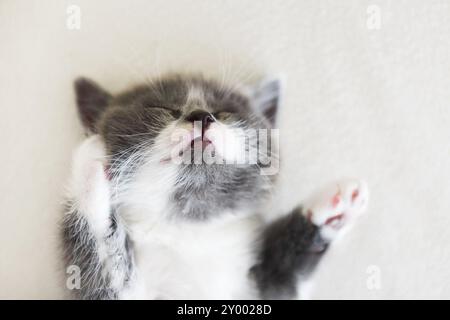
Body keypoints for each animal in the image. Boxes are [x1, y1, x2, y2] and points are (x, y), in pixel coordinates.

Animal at [60, 74, 370, 298]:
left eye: (224, 112)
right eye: (162, 108)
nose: (200, 115)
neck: (190, 227)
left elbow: (282, 280)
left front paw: (330, 210)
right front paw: (90, 161)